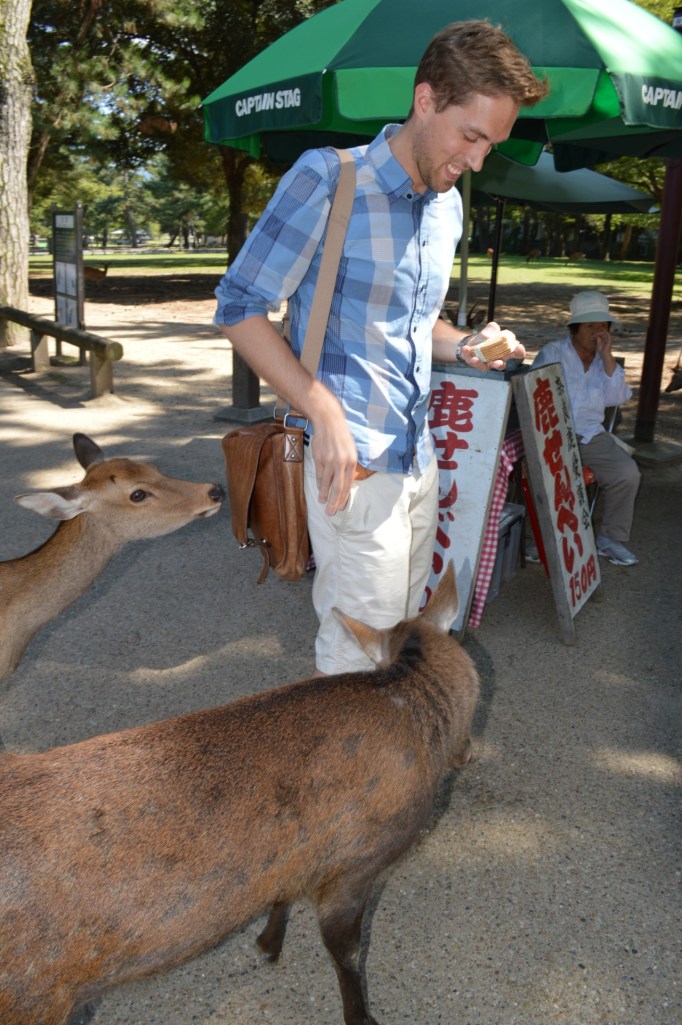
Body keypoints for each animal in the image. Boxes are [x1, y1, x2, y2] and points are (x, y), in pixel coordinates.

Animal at [0, 563, 479, 1025]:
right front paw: (361, 1016)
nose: (468, 754)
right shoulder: (356, 861)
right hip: (33, 998)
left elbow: (282, 895)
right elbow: (347, 953)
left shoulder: (297, 856)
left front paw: (267, 943)